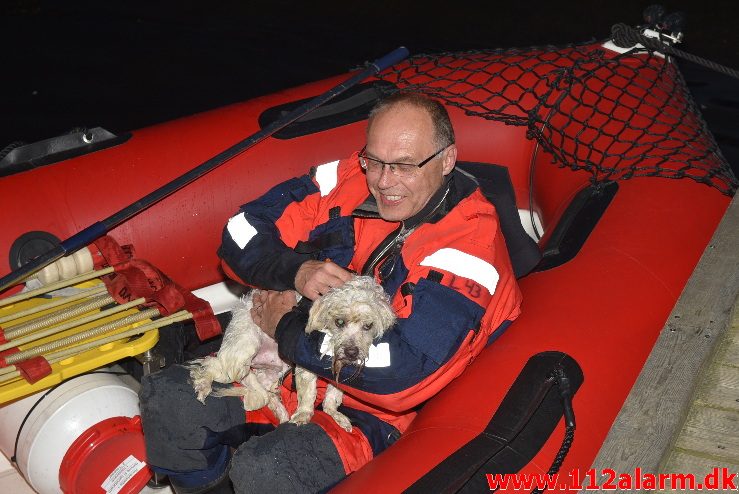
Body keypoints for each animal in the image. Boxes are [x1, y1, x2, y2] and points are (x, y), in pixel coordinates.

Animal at [191, 276, 398, 430]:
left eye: (368, 326)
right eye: (339, 322)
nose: (351, 352)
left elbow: (332, 397)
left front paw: (335, 414)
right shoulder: (305, 364)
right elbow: (307, 393)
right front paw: (303, 414)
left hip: (274, 371)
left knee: (265, 392)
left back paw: (280, 414)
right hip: (241, 354)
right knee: (212, 365)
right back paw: (203, 386)